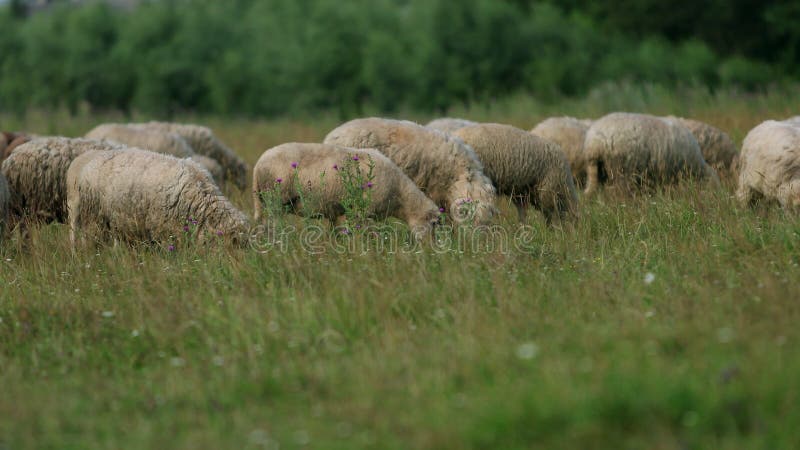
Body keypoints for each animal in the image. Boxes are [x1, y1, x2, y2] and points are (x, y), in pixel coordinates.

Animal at [253, 143, 440, 239]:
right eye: (434, 224)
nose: (430, 252)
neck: (399, 196)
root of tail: (258, 165)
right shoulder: (363, 212)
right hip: (276, 200)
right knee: (272, 227)